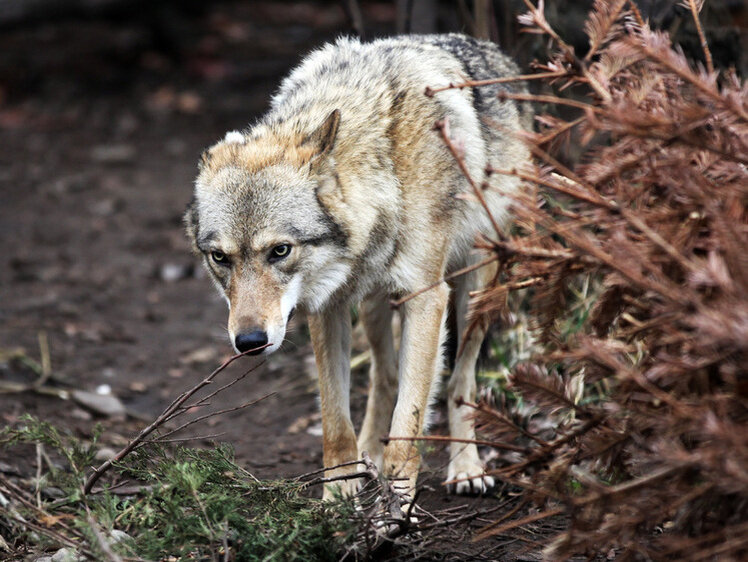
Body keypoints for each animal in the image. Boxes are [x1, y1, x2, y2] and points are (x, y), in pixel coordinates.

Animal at [186, 34, 532, 498]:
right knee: (385, 377)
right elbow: (335, 423)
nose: (250, 342)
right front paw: (337, 497)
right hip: (372, 306)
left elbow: (409, 428)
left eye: (280, 251)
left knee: (461, 379)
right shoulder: (326, 307)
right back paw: (370, 455)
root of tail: (494, 51)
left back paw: (466, 468)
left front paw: (397, 507)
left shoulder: (426, 298)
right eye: (221, 258)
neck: (387, 171)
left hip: (475, 286)